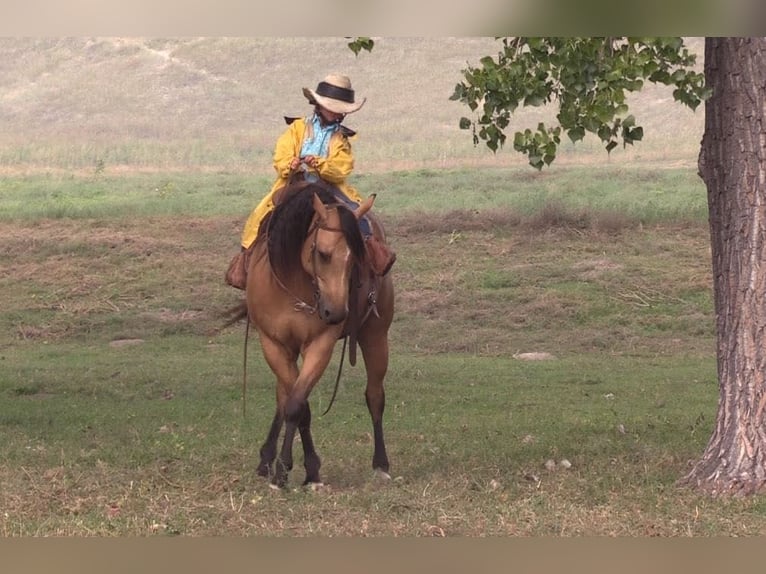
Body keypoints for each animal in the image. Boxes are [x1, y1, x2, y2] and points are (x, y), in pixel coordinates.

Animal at [230, 181, 396, 490]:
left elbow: (297, 404)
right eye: (322, 253)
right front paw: (292, 468)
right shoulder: (274, 344)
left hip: (376, 336)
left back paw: (381, 465)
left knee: (374, 395)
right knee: (281, 396)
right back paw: (265, 459)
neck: (292, 282)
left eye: (356, 259)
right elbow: (295, 403)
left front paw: (292, 471)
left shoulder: (320, 345)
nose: (335, 312)